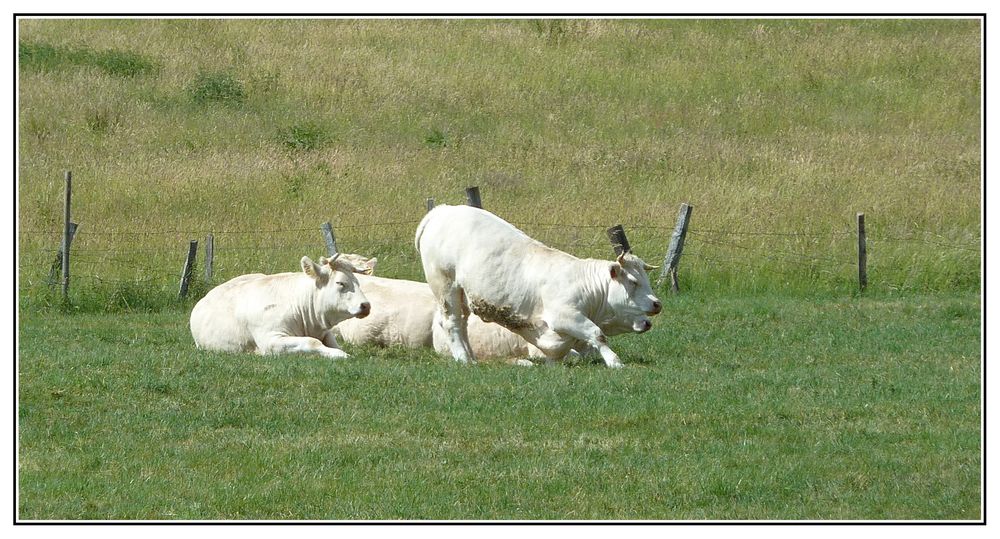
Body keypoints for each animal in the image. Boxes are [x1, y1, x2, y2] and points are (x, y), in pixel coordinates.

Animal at [188, 253, 376, 358]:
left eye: (358, 282)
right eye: (340, 283)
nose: (366, 305)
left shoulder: (325, 332)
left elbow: (332, 343)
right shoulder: (270, 340)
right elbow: (312, 342)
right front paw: (340, 354)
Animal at [416, 205, 664, 370]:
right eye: (633, 281)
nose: (657, 304)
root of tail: (442, 210)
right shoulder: (566, 315)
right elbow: (597, 334)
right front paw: (615, 362)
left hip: (463, 293)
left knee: (463, 323)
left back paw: (471, 356)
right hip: (445, 285)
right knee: (452, 323)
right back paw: (464, 360)